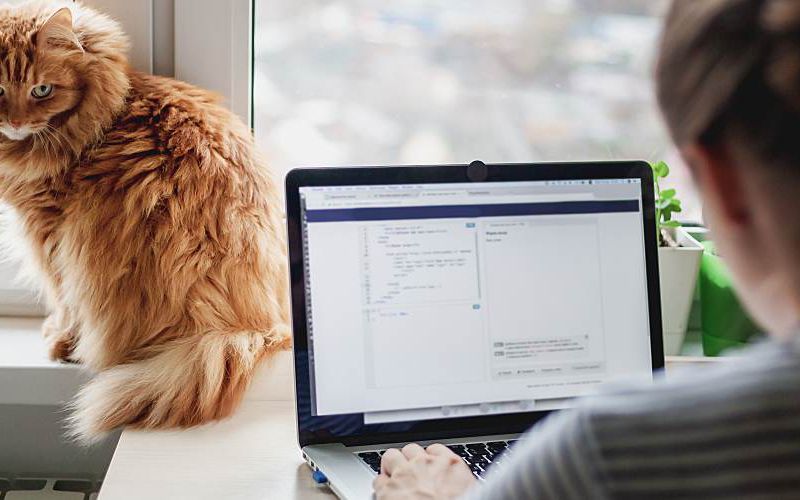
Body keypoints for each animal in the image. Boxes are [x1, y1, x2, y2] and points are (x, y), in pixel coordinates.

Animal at [0, 2, 290, 442]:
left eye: (42, 91)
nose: (15, 123)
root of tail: (253, 328)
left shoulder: (50, 235)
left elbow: (62, 299)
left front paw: (60, 340)